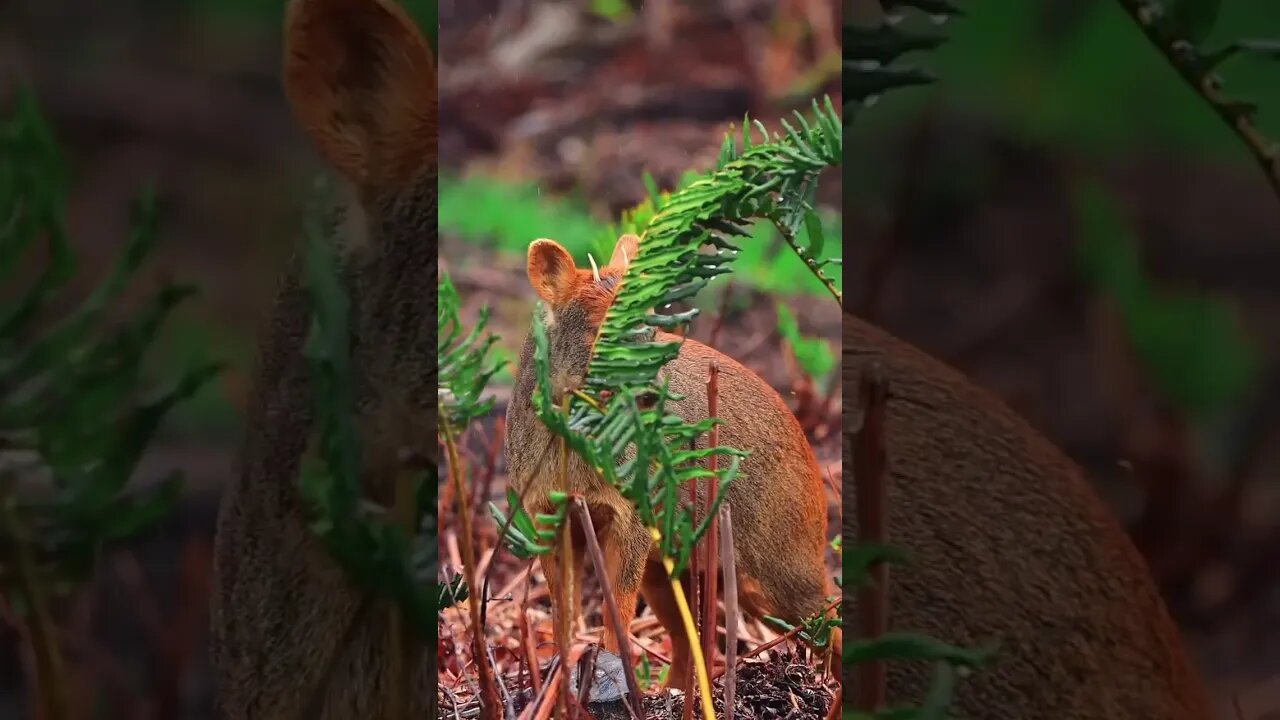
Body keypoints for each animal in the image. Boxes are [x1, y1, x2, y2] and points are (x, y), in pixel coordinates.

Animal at [504, 234, 844, 681]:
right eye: (600, 329)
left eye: (651, 328)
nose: (654, 392)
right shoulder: (546, 513)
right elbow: (564, 610)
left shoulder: (629, 517)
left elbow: (617, 613)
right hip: (680, 568)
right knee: (691, 645)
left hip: (779, 571)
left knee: (831, 623)